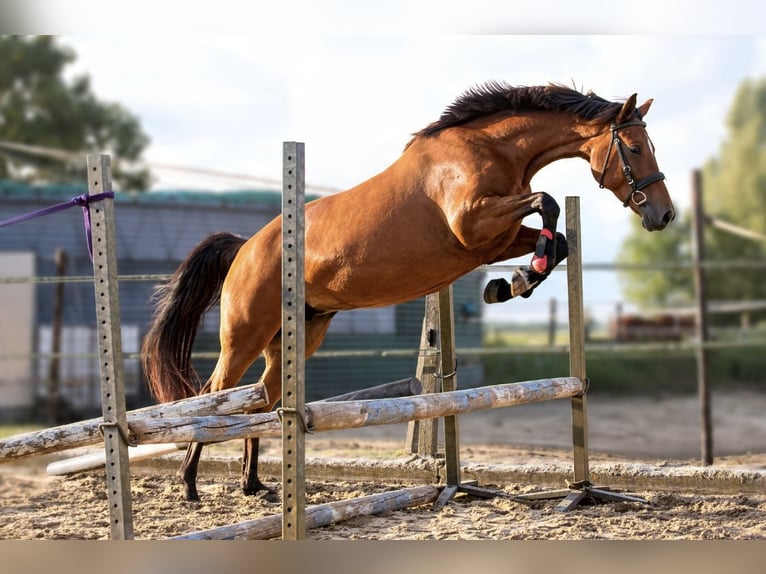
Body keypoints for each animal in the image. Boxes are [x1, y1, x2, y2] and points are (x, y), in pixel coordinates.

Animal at [142, 82, 675, 502]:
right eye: (634, 148)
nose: (663, 215)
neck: (492, 149)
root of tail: (246, 246)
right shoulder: (474, 224)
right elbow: (546, 203)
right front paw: (515, 281)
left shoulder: (495, 238)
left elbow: (557, 237)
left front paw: (509, 284)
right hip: (246, 333)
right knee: (217, 394)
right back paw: (189, 483)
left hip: (296, 337)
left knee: (259, 400)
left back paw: (254, 485)